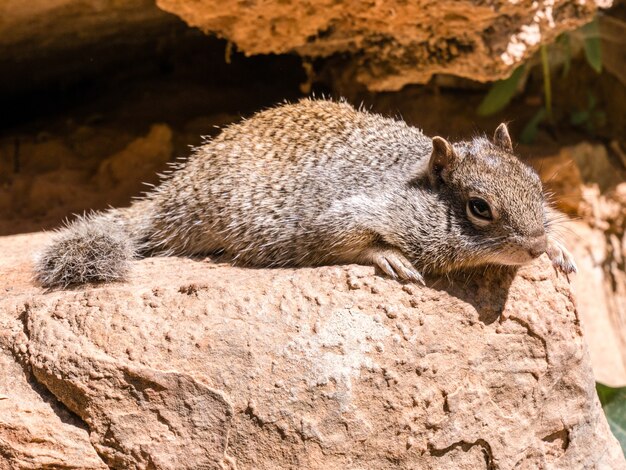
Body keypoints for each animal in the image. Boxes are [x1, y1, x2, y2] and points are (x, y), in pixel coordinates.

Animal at [34, 98, 576, 288]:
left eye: (536, 183)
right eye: (479, 208)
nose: (532, 246)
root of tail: (169, 195)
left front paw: (557, 247)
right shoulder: (337, 215)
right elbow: (345, 240)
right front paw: (390, 257)